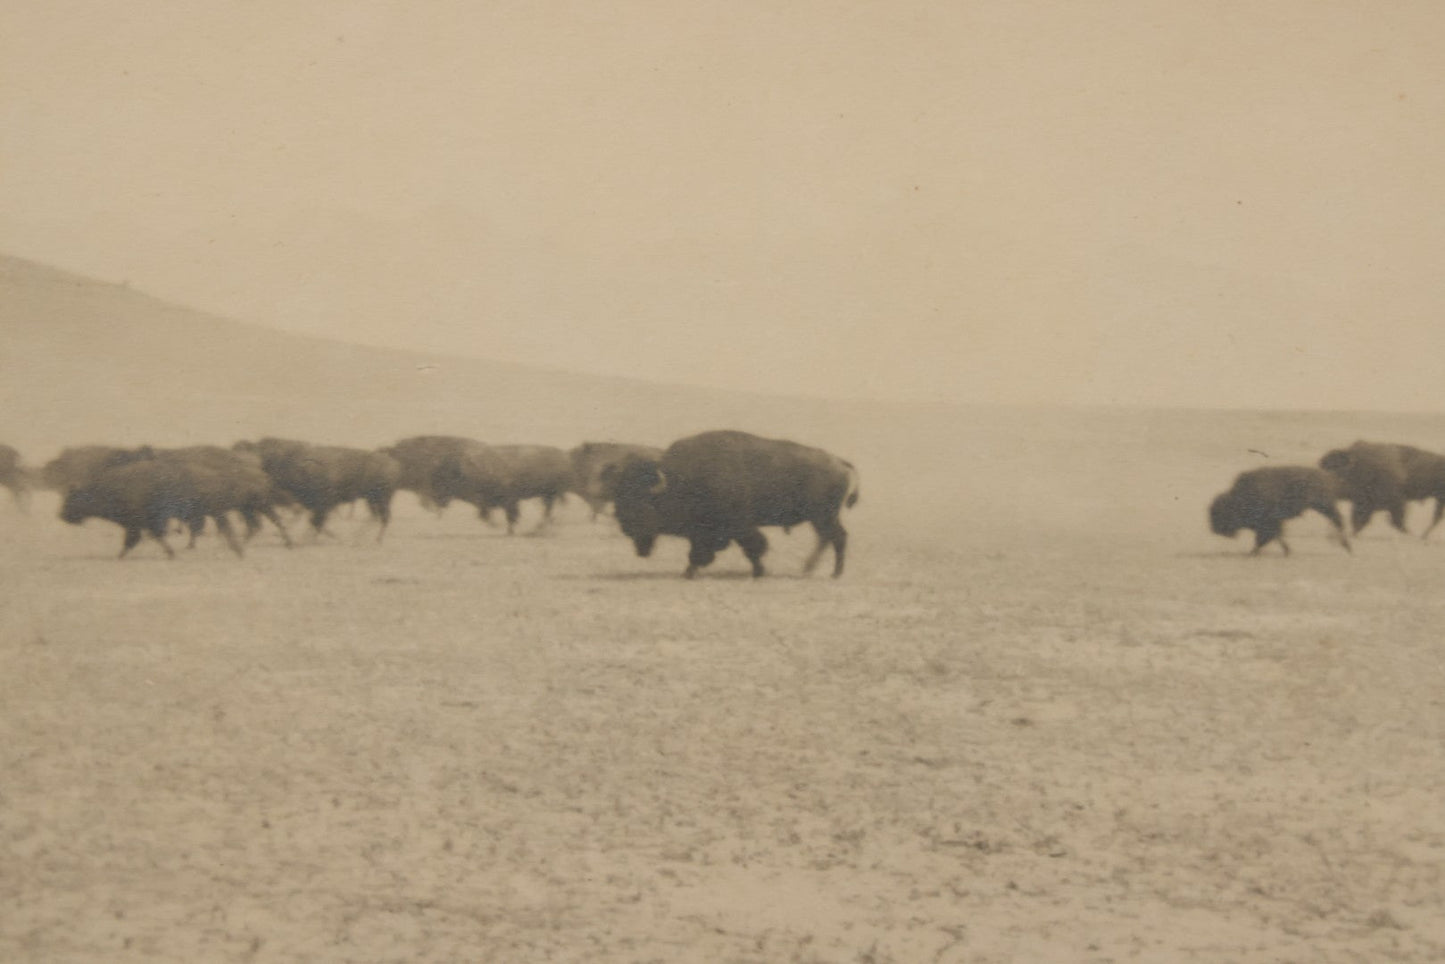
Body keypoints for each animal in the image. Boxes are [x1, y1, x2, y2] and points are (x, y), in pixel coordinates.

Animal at [610, 429, 860, 578]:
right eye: (620, 495)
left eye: (641, 500)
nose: (623, 525)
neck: (679, 480)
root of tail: (840, 463)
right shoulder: (704, 532)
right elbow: (699, 551)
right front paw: (690, 571)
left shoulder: (739, 526)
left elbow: (753, 547)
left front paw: (759, 572)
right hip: (822, 517)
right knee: (830, 538)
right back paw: (813, 570)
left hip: (822, 516)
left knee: (835, 538)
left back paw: (831, 573)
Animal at [1209, 465, 1350, 556]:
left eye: (1223, 513)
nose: (1214, 529)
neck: (1239, 498)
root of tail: (1327, 476)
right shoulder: (1270, 524)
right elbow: (1275, 536)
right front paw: (1286, 550)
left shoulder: (1269, 522)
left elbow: (1267, 537)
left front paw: (1254, 552)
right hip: (1323, 507)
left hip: (1324, 506)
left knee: (1338, 521)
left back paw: (1347, 546)